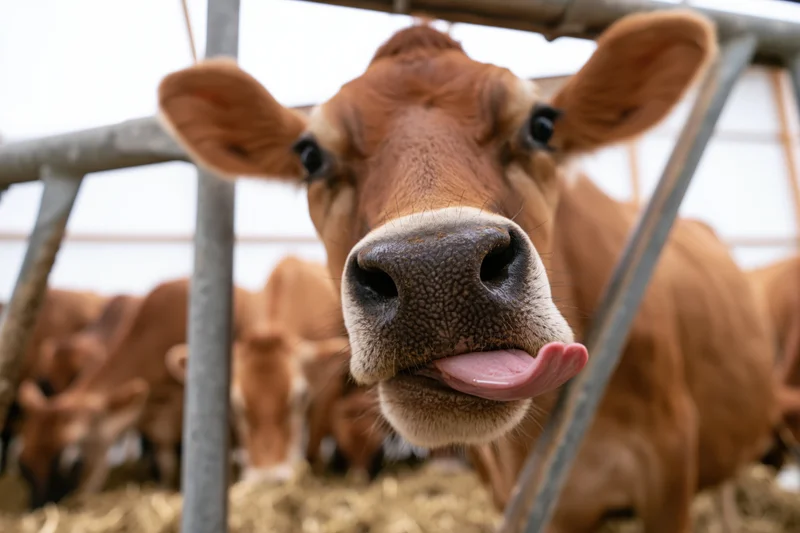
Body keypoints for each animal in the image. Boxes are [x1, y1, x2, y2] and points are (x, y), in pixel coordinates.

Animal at [14, 278, 258, 509]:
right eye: (24, 465)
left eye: (71, 462)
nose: (39, 508)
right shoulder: (150, 420)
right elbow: (164, 462)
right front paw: (163, 488)